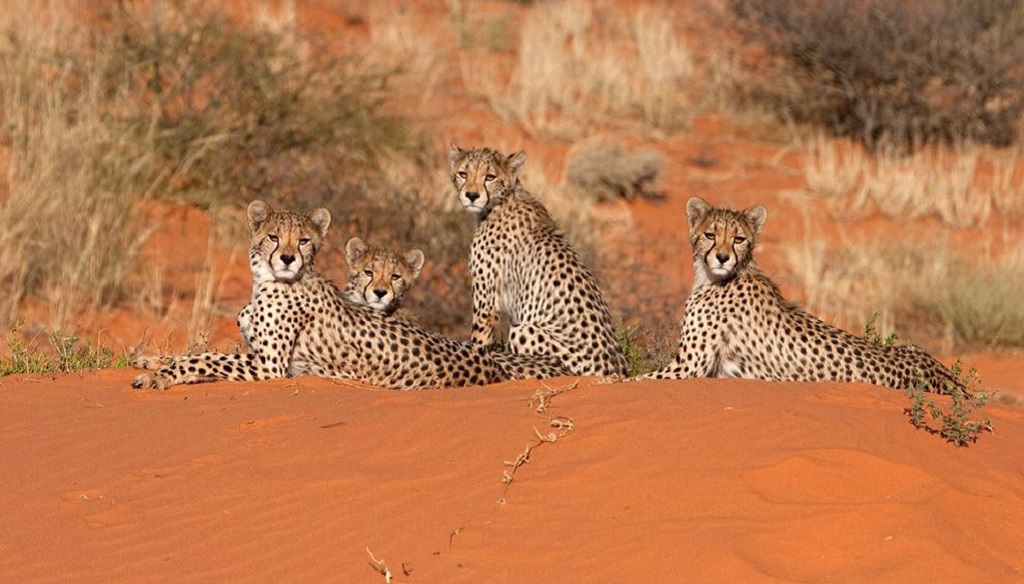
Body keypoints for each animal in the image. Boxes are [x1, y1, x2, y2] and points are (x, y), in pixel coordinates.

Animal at [130, 200, 569, 391]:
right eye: (273, 236)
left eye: (304, 240)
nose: (287, 258)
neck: (269, 282)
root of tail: (489, 363)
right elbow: (197, 351)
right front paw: (150, 360)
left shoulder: (270, 366)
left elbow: (204, 358)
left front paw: (161, 377)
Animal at [450, 143, 626, 374]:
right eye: (463, 173)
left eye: (489, 177)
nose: (471, 195)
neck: (502, 202)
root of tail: (615, 370)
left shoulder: (486, 303)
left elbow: (479, 340)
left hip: (524, 330)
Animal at [643, 195, 962, 391]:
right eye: (710, 235)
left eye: (739, 239)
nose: (722, 257)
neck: (723, 276)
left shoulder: (687, 368)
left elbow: (633, 380)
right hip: (914, 347)